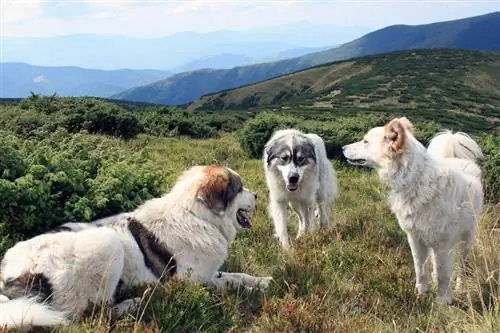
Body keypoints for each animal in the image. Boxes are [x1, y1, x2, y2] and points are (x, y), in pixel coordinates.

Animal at [0, 165, 274, 328]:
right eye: (239, 188)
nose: (258, 195)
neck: (197, 216)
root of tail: (11, 275)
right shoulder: (193, 281)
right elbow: (229, 282)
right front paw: (254, 289)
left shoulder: (210, 271)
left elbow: (237, 275)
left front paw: (263, 281)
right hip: (107, 244)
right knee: (89, 316)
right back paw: (133, 303)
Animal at [342, 116, 482, 304]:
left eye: (365, 141)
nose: (342, 148)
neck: (415, 179)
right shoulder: (416, 239)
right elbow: (420, 269)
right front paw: (421, 293)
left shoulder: (442, 244)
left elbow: (444, 275)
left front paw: (443, 301)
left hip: (466, 240)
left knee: (461, 267)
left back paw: (460, 286)